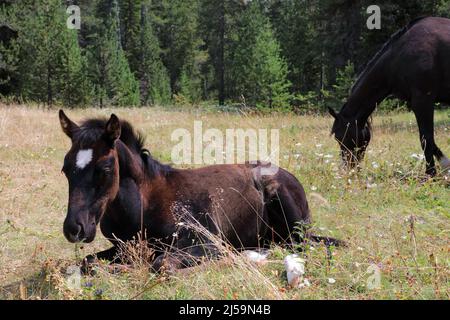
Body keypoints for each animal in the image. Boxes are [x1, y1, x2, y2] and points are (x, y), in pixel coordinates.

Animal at [58, 110, 338, 272]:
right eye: (65, 168)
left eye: (105, 168)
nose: (75, 228)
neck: (144, 206)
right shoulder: (122, 247)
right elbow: (89, 262)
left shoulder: (209, 243)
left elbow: (161, 264)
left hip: (287, 212)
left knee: (301, 245)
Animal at [330, 17, 450, 176]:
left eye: (340, 136)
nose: (349, 169)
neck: (400, 54)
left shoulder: (423, 101)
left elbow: (426, 138)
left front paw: (432, 172)